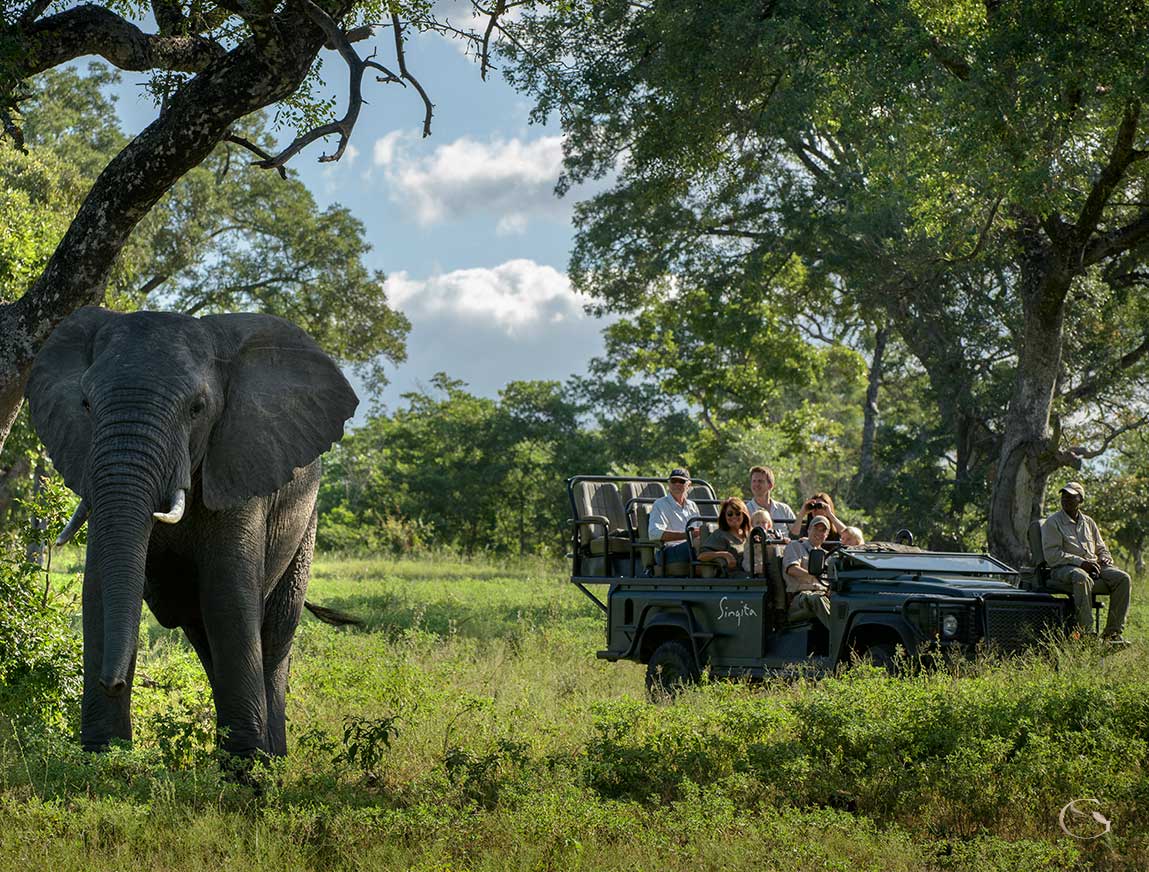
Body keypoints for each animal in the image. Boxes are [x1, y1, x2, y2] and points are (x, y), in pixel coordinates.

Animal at [25, 307, 358, 758]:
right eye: (86, 404)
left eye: (197, 408)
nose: (113, 682)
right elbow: (97, 587)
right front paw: (102, 757)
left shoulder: (238, 462)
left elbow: (228, 594)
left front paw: (247, 766)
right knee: (204, 636)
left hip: (306, 519)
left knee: (273, 633)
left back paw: (272, 756)